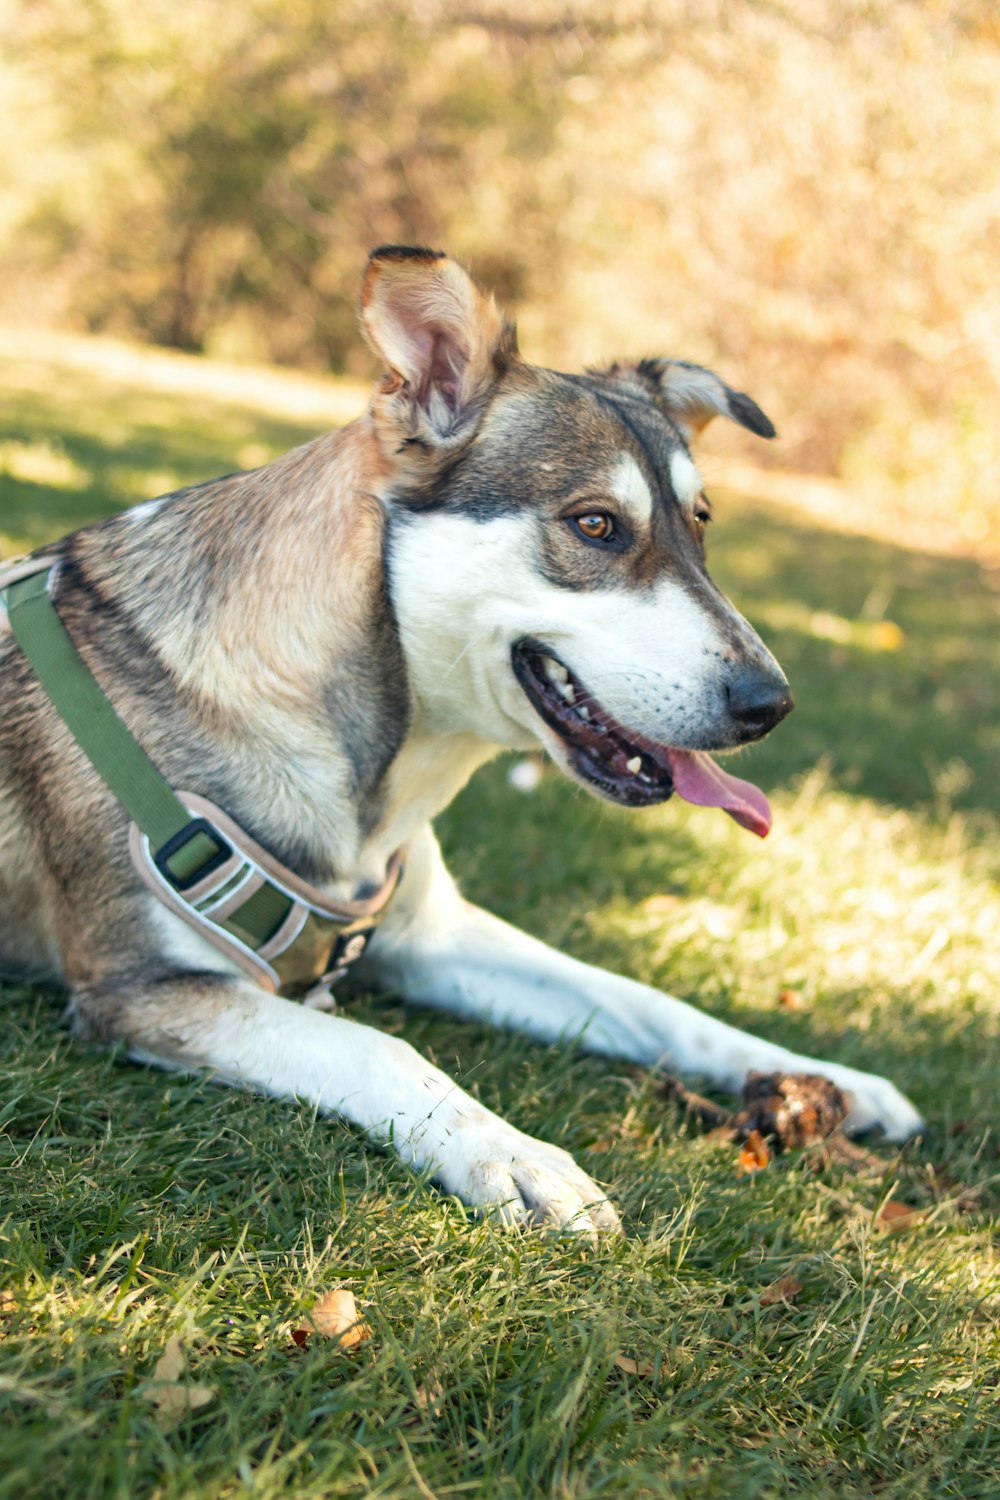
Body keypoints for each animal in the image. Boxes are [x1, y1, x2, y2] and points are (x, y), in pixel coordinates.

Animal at [0, 243, 923, 1230]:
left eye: (700, 523)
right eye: (596, 524)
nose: (771, 703)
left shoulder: (430, 935)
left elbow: (648, 1000)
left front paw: (828, 1078)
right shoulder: (141, 991)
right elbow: (375, 1046)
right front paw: (513, 1156)